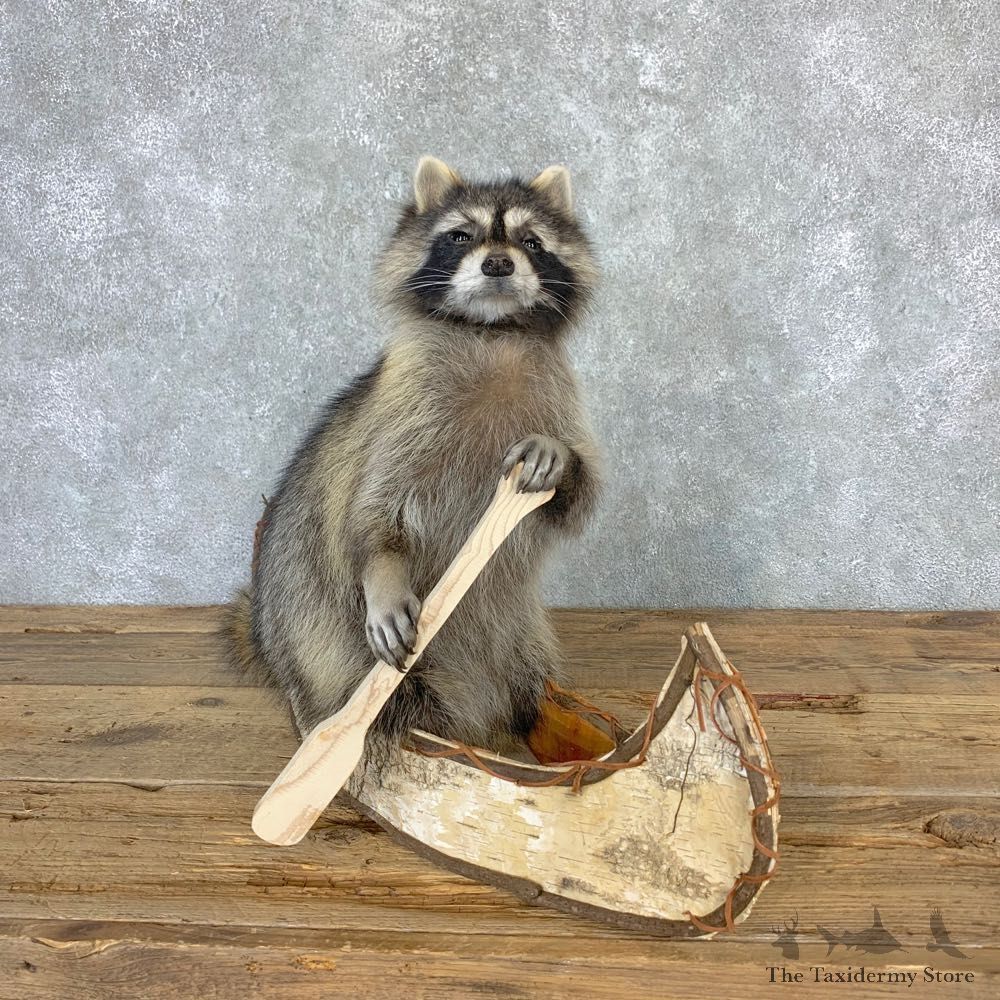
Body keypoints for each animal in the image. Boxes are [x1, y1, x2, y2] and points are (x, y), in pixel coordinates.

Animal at [223, 157, 602, 757]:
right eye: (461, 235)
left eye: (531, 241)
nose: (498, 263)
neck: (490, 332)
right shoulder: (401, 413)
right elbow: (372, 513)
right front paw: (383, 571)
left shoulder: (558, 399)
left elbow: (579, 499)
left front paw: (561, 462)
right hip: (324, 644)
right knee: (389, 701)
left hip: (519, 636)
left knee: (528, 684)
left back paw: (534, 724)